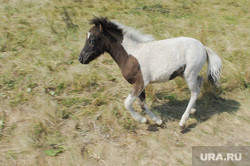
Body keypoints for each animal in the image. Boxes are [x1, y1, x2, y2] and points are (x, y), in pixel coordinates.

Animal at [77, 16, 222, 129]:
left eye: (92, 40)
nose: (81, 58)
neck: (130, 55)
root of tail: (203, 47)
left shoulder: (140, 82)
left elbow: (127, 103)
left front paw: (143, 120)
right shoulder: (138, 84)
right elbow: (142, 104)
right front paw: (158, 121)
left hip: (189, 74)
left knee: (195, 92)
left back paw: (183, 122)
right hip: (185, 73)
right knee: (200, 81)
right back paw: (193, 109)